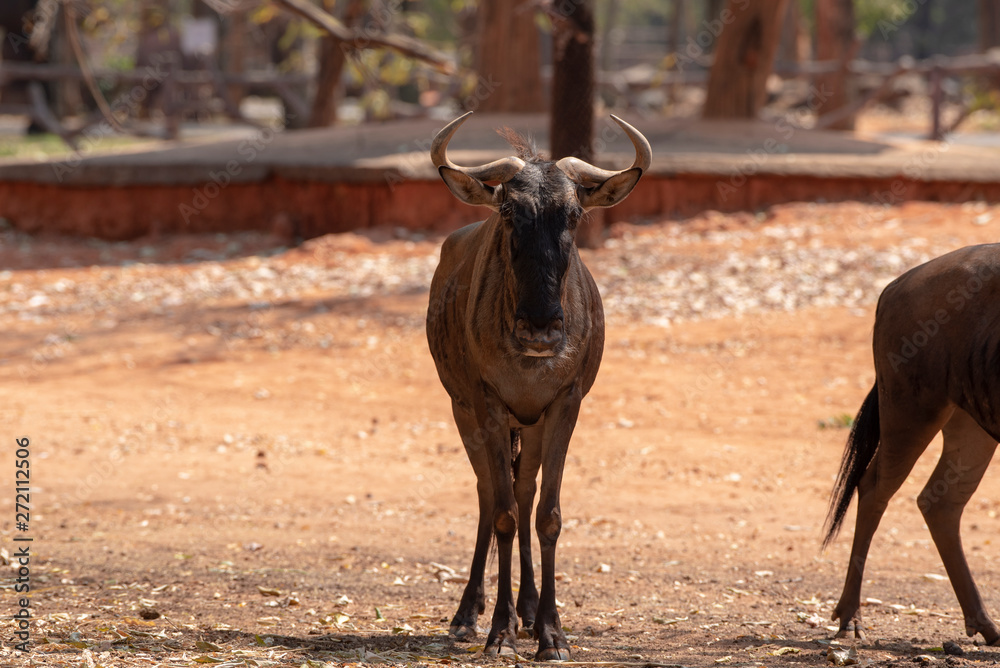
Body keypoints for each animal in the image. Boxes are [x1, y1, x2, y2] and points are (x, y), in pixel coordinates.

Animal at [425, 112, 650, 659]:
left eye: (572, 214)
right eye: (509, 211)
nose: (541, 330)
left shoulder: (564, 406)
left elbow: (547, 514)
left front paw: (550, 633)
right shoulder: (484, 404)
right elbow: (503, 514)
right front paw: (500, 634)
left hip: (527, 427)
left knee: (524, 491)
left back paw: (527, 609)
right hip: (466, 412)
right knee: (490, 493)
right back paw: (468, 616)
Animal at [825, 243, 1000, 644]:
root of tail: (894, 286)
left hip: (971, 424)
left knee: (941, 502)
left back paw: (984, 624)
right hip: (912, 412)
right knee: (873, 487)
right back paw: (851, 617)